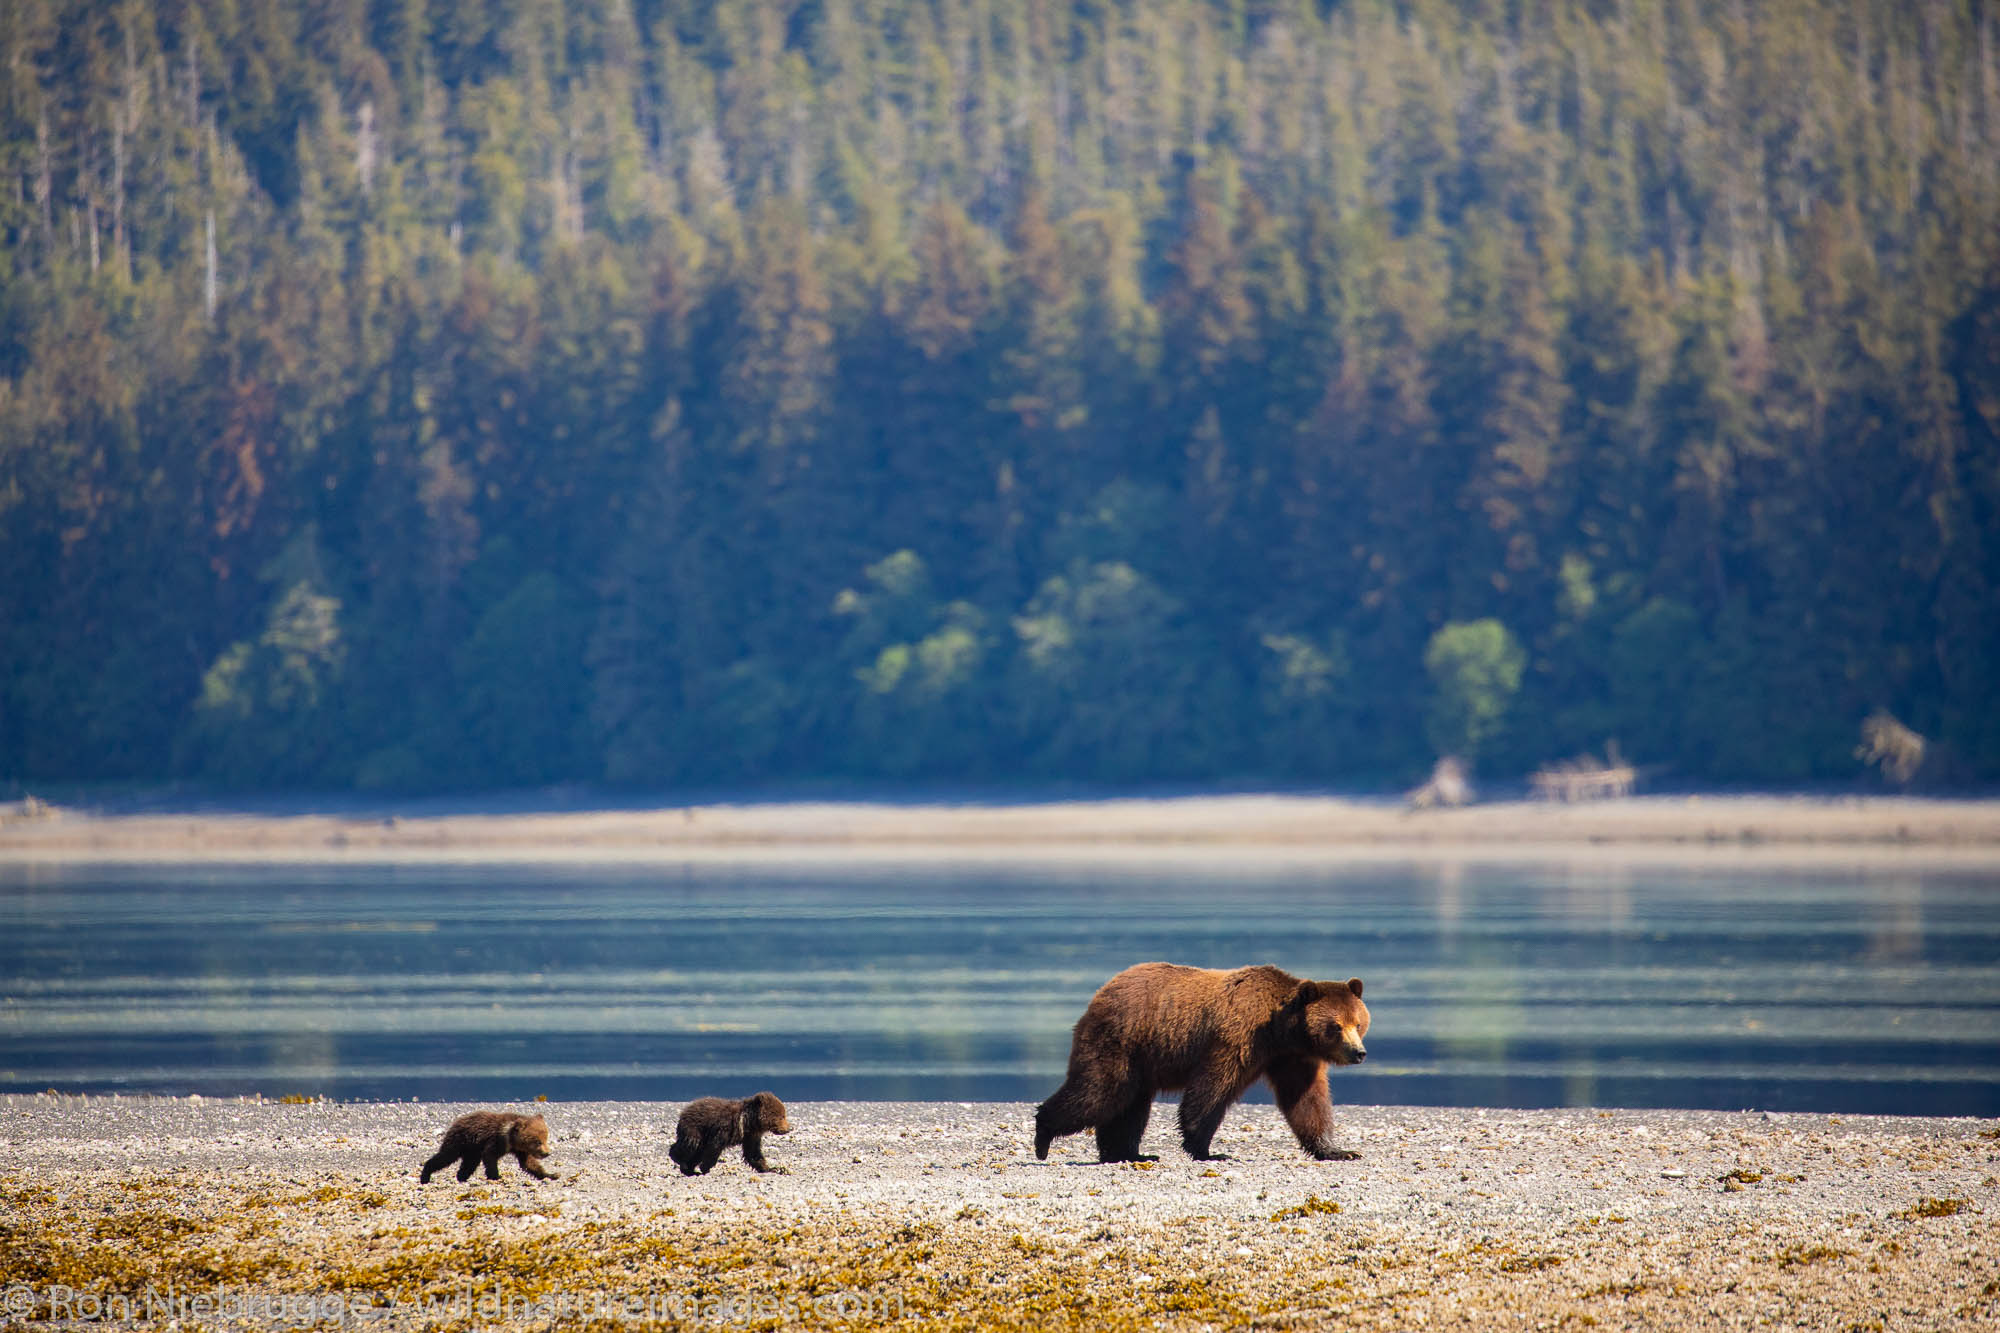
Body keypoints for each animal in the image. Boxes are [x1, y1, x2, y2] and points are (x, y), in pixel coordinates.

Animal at [1032, 960, 1376, 1160]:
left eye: (1358, 1023)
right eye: (1336, 1026)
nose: (1358, 1053)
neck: (1280, 1030)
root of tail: (1101, 991)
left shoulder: (1292, 1058)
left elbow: (1306, 1101)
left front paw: (1337, 1149)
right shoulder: (1237, 1038)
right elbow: (1211, 1090)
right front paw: (1206, 1149)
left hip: (1139, 1058)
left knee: (1128, 1106)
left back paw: (1128, 1154)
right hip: (1122, 1041)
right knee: (1100, 1091)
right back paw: (1043, 1135)